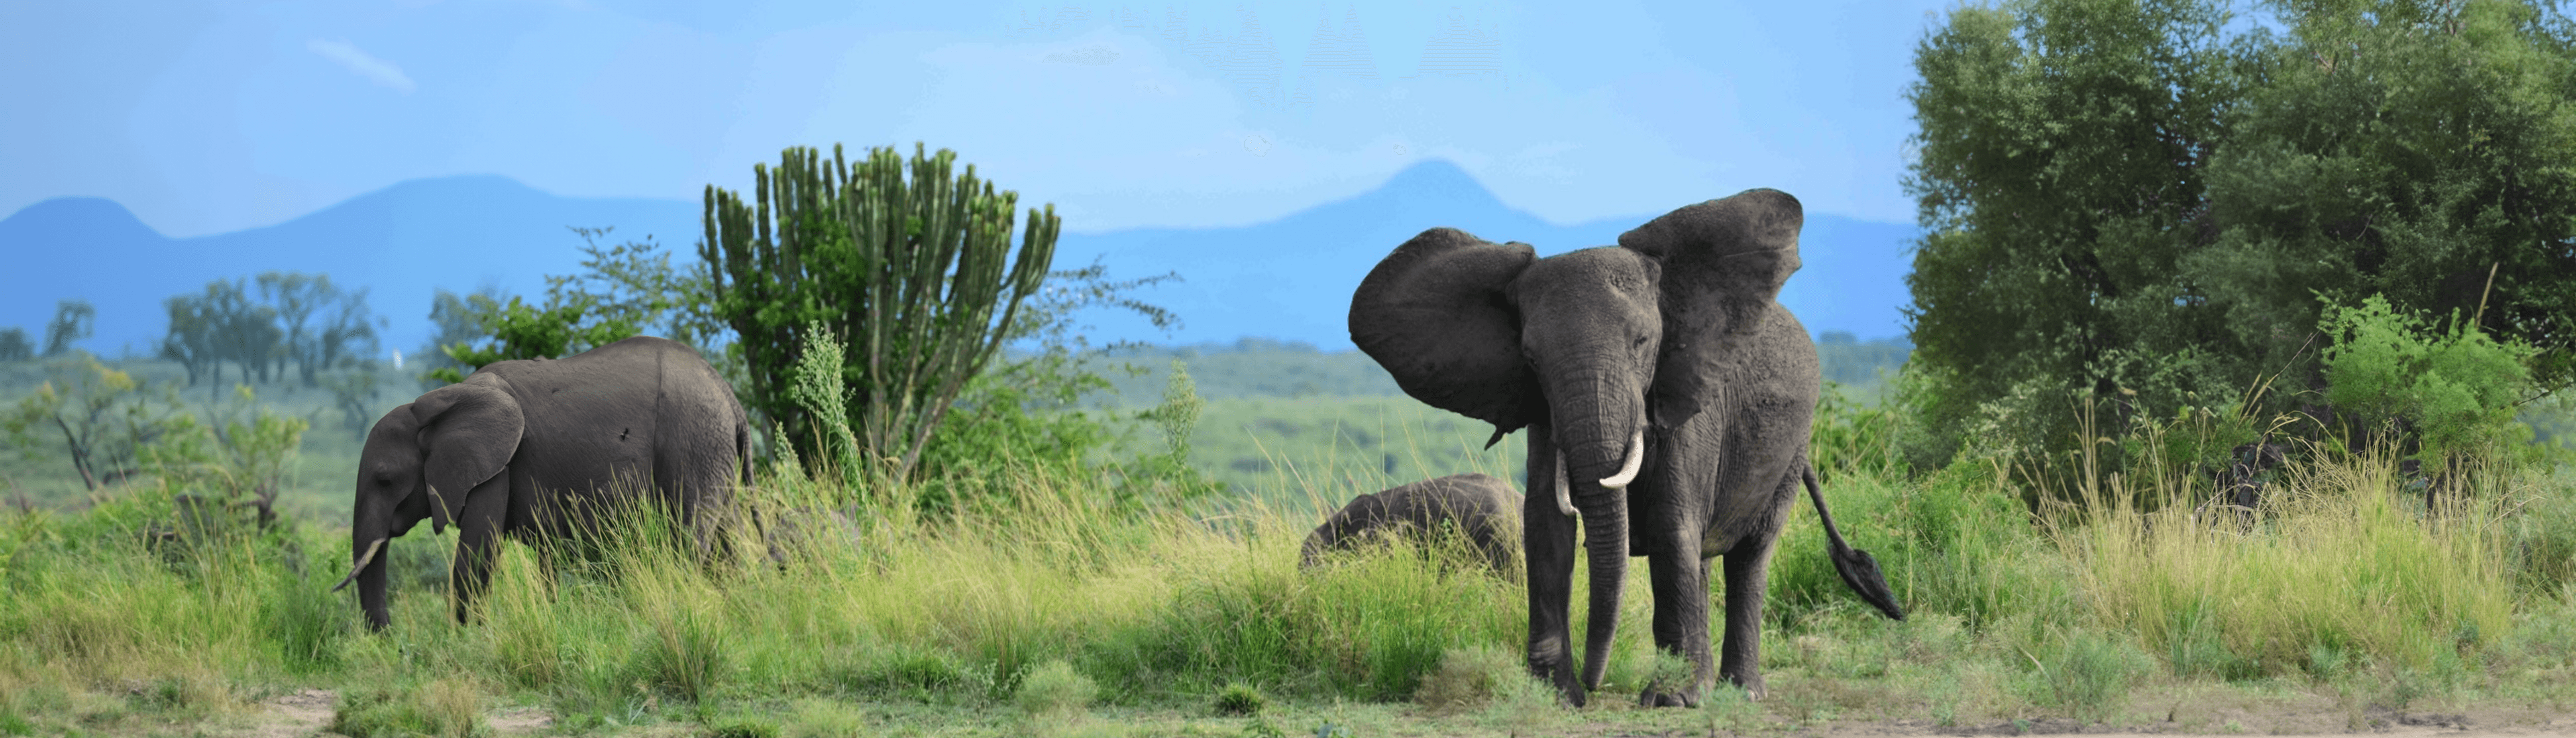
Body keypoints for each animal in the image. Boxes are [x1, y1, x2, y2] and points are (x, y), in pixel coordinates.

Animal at [337, 337, 752, 632]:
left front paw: (468, 639)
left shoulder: (497, 467)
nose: (391, 638)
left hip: (691, 442)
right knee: (727, 542)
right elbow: (544, 557)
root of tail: (730, 396)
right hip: (713, 452)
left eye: (385, 480)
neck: (440, 402)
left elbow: (477, 551)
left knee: (687, 540)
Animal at [1360, 187, 1906, 706]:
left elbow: (1670, 525)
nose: (1594, 684)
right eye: (1531, 359)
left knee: (1749, 556)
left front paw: (1668, 699)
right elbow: (1546, 528)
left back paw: (1740, 692)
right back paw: (1709, 687)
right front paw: (1555, 695)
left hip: (1793, 445)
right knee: (1702, 558)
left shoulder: (1689, 397)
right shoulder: (1543, 411)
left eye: (1643, 342)